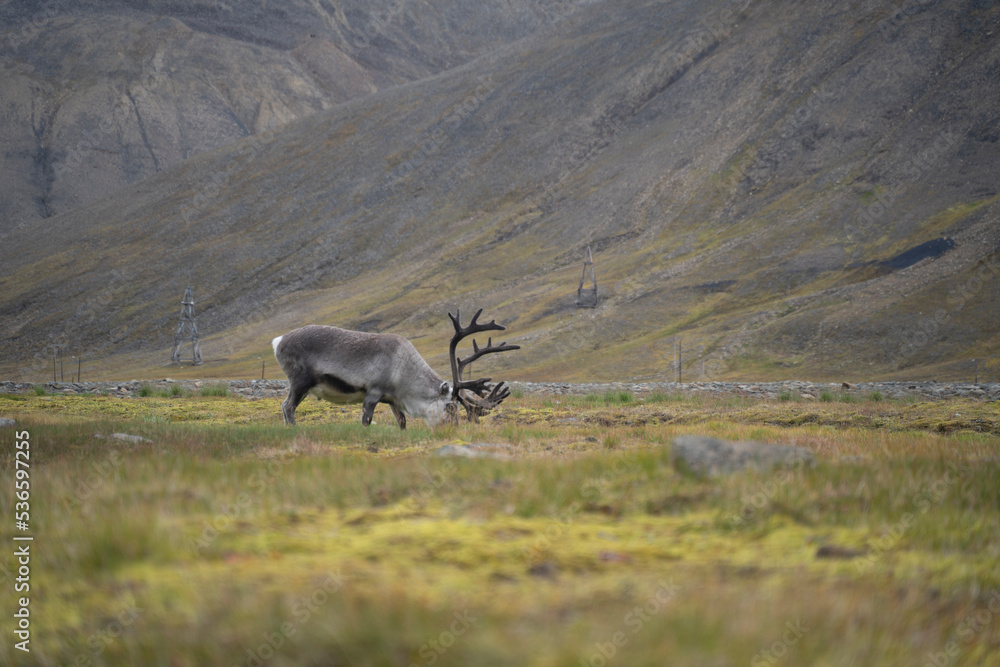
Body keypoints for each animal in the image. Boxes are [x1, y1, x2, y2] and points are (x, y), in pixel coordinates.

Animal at [272, 309, 519, 428]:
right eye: (450, 407)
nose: (452, 430)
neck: (404, 370)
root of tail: (279, 340)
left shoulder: (392, 400)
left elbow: (402, 422)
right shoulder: (372, 393)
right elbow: (366, 421)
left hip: (305, 387)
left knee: (286, 407)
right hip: (300, 382)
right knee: (287, 407)